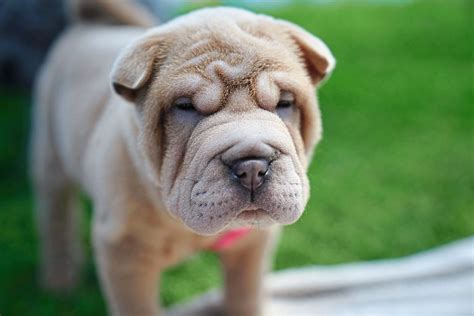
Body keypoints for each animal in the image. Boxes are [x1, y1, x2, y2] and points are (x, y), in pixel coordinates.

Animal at [30, 1, 334, 314]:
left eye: (285, 103)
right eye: (185, 107)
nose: (252, 167)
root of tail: (90, 23)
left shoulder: (252, 246)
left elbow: (246, 295)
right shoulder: (125, 255)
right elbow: (138, 308)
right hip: (49, 152)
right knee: (56, 213)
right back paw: (59, 281)